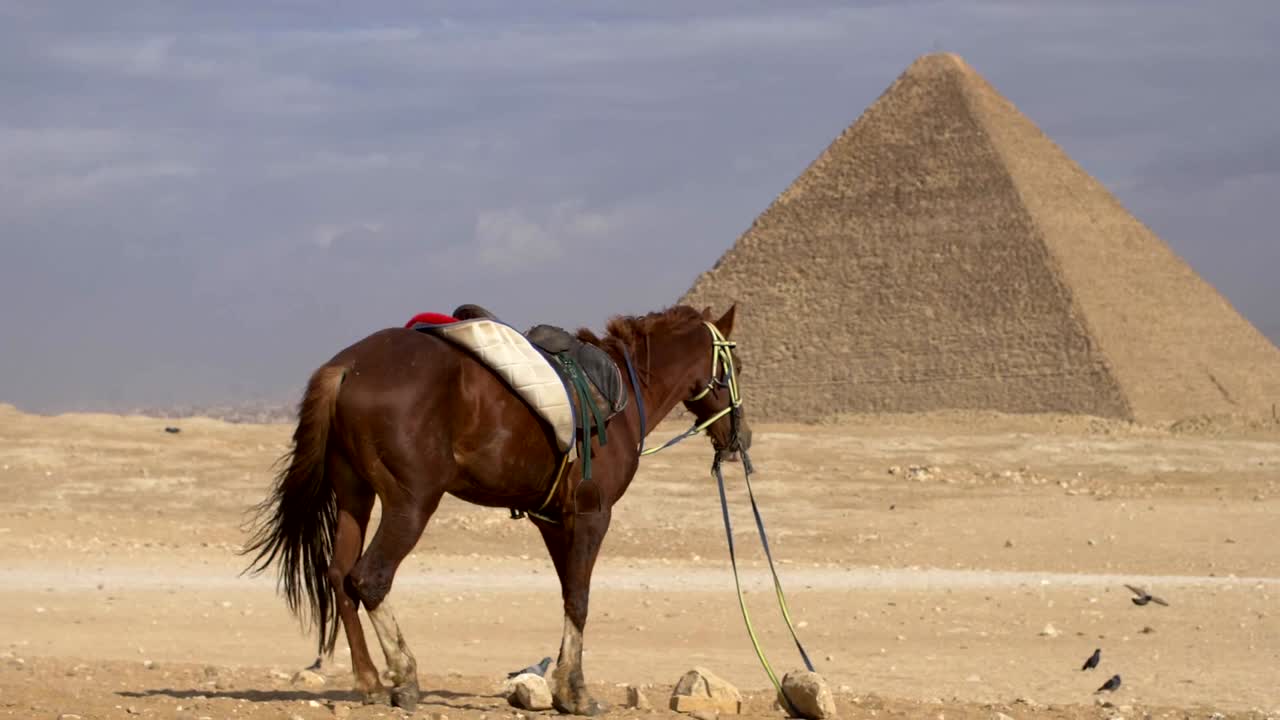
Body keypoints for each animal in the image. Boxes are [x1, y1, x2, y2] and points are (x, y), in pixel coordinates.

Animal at [240, 303, 752, 715]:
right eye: (739, 366)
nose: (740, 438)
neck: (624, 390)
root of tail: (347, 366)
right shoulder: (592, 513)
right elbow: (581, 600)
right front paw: (577, 694)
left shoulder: (553, 519)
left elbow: (568, 595)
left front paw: (563, 690)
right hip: (411, 501)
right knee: (369, 577)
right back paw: (405, 678)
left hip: (354, 495)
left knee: (337, 573)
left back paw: (368, 681)